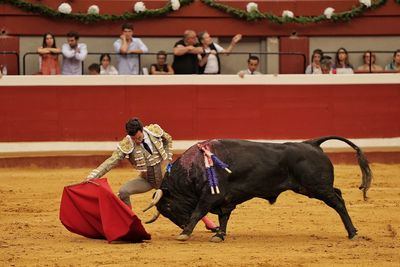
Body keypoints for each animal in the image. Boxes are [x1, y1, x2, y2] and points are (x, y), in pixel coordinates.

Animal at [145, 136, 372, 243]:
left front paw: (184, 233)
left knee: (338, 201)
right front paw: (219, 235)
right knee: (338, 194)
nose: (182, 225)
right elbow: (223, 217)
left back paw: (352, 232)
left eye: (169, 208)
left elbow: (198, 212)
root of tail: (312, 143)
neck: (195, 166)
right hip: (314, 187)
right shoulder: (224, 200)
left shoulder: (210, 196)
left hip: (317, 187)